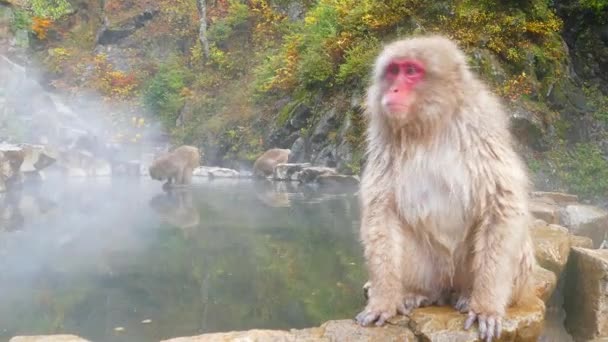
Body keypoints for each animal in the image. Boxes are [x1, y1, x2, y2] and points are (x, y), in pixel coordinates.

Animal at [354, 35, 540, 342]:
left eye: (411, 71)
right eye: (393, 71)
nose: (393, 89)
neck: (429, 126)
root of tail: (445, 288)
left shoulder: (481, 129)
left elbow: (502, 203)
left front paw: (486, 306)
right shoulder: (384, 139)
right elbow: (381, 211)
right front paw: (383, 301)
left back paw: (467, 296)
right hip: (432, 270)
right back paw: (415, 293)